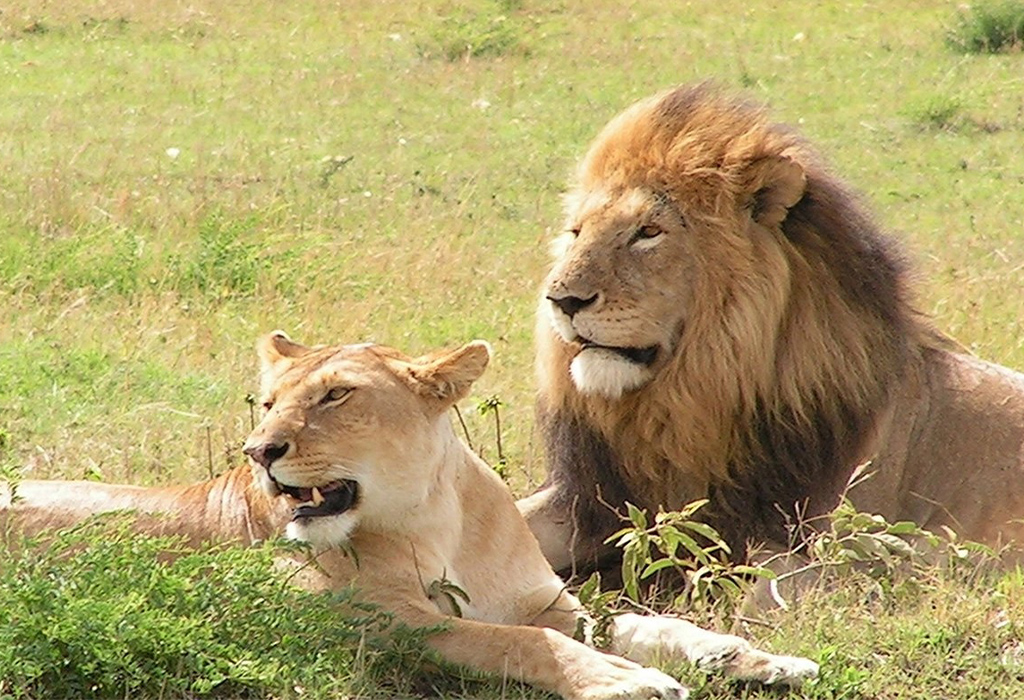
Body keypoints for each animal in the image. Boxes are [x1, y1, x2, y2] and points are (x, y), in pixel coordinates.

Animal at [2, 332, 818, 700]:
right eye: (268, 403)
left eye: (336, 395)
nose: (260, 450)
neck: (434, 517)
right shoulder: (381, 625)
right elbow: (519, 641)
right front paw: (626, 682)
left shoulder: (554, 604)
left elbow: (649, 624)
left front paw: (755, 659)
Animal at [518, 83, 1024, 580]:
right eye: (576, 232)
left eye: (648, 231)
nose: (561, 300)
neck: (688, 400)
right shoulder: (594, 500)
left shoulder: (841, 543)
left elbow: (763, 576)